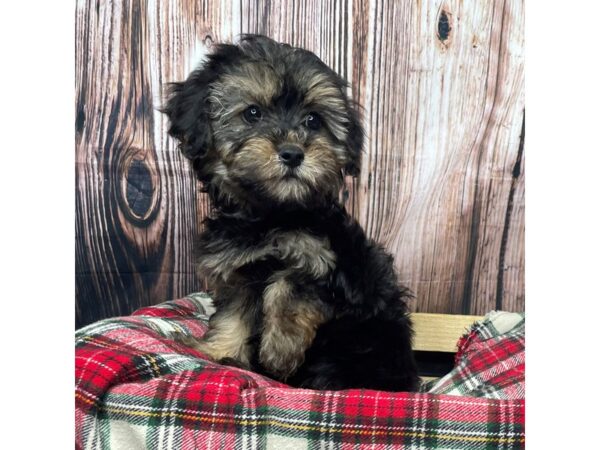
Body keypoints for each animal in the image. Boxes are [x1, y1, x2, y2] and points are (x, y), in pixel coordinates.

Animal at [162, 37, 420, 392]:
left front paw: (279, 351)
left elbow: (287, 286)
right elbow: (233, 316)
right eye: (252, 113)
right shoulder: (239, 272)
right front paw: (219, 351)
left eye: (313, 120)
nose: (293, 153)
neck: (271, 215)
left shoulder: (323, 262)